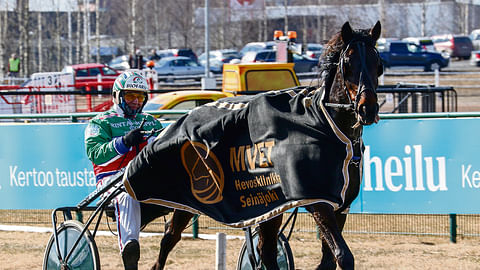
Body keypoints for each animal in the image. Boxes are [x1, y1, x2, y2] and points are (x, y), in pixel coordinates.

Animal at [150, 21, 382, 270]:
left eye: (377, 63)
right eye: (348, 62)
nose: (367, 108)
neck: (326, 127)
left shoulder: (341, 205)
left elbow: (328, 259)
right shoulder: (319, 201)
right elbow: (343, 255)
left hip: (269, 205)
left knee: (266, 250)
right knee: (170, 236)